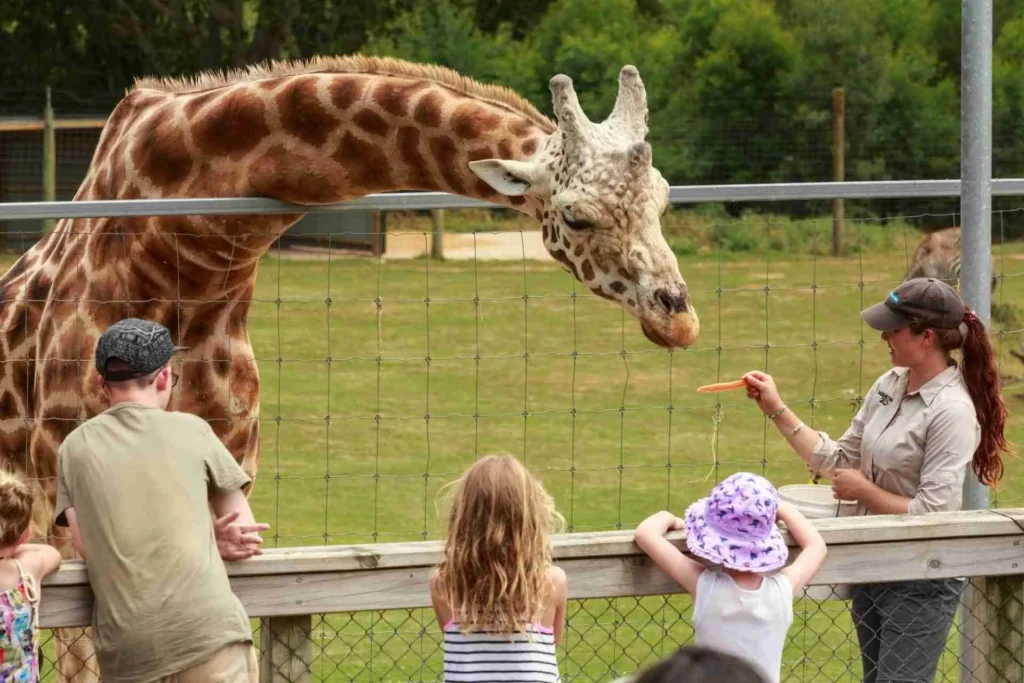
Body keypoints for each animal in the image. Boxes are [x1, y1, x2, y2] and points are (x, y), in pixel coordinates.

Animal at [0, 55, 698, 680]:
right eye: (577, 215)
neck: (192, 262)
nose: (679, 317)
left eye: (664, 198)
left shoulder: (231, 472)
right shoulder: (68, 499)